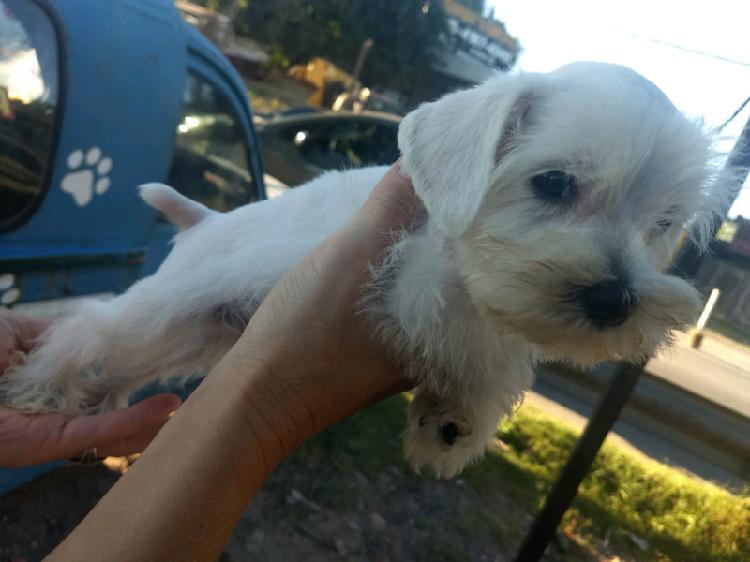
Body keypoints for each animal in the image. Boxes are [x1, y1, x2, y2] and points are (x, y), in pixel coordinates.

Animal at [1, 64, 728, 476]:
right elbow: (465, 320)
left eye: (664, 222)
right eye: (552, 183)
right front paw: (462, 390)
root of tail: (204, 219)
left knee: (126, 360)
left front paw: (456, 419)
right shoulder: (407, 275)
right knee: (89, 329)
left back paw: (99, 404)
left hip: (200, 331)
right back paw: (39, 390)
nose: (615, 299)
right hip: (171, 304)